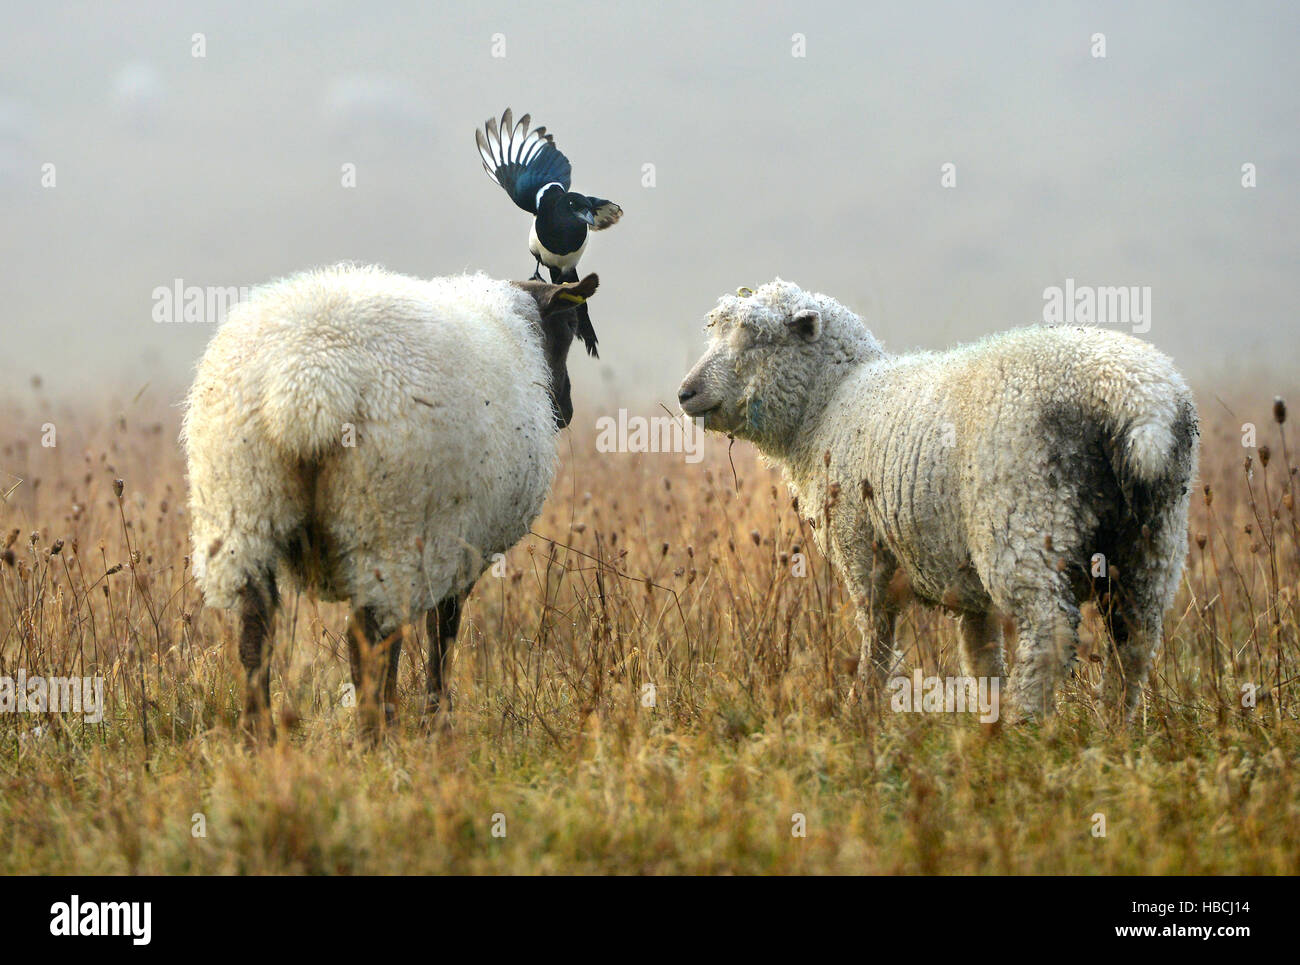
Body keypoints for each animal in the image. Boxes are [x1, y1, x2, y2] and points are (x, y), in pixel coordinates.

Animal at [183, 264, 598, 738]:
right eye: (569, 325)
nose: (566, 409)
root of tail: (307, 384)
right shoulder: (459, 546)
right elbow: (443, 631)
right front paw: (438, 721)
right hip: (388, 521)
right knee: (369, 639)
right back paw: (375, 734)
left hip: (242, 506)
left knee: (257, 627)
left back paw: (260, 738)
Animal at [681, 279, 1196, 728]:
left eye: (756, 338)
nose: (686, 393)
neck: (830, 402)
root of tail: (1136, 399)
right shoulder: (964, 583)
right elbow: (981, 656)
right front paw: (986, 721)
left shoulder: (860, 543)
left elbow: (877, 634)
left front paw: (862, 708)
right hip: (1153, 537)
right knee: (1136, 638)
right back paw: (1115, 727)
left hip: (1024, 518)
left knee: (1049, 631)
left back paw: (1026, 727)